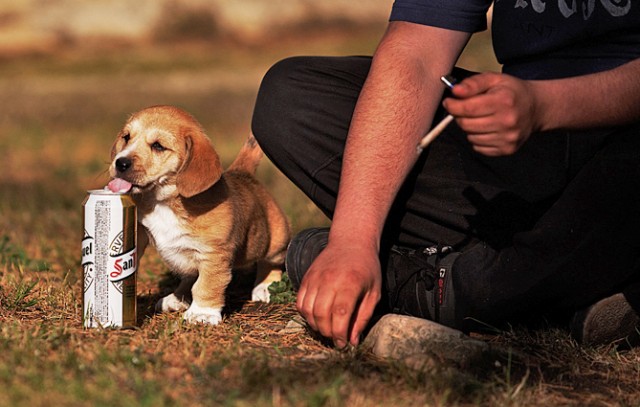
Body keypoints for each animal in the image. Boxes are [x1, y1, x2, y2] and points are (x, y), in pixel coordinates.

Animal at [108, 105, 290, 326]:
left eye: (158, 146)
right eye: (126, 137)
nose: (120, 163)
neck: (164, 202)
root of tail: (243, 173)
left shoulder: (213, 255)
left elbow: (206, 286)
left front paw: (202, 313)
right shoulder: (141, 232)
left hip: (275, 243)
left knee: (270, 263)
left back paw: (264, 287)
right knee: (189, 278)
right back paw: (176, 299)